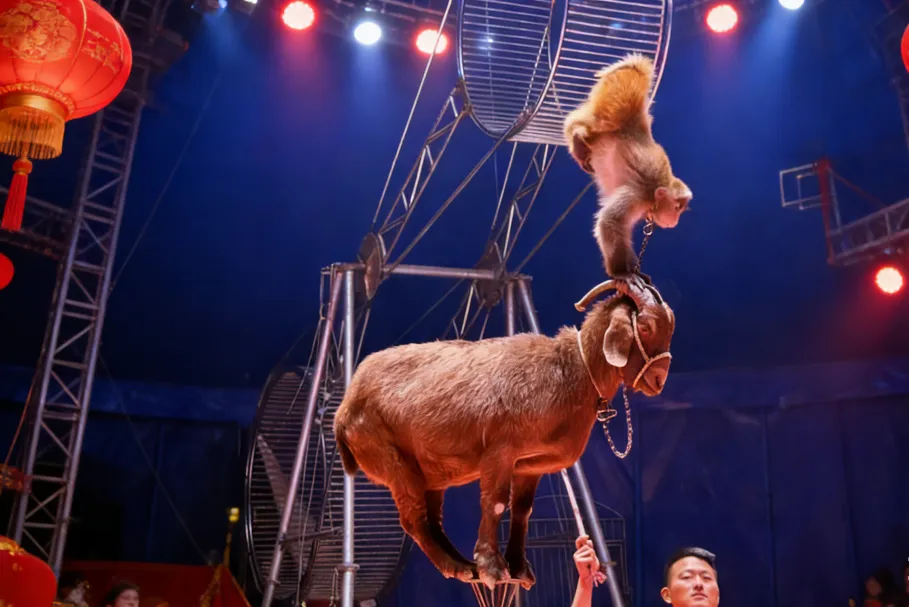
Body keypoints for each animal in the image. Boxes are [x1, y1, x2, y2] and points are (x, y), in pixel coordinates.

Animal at [333, 279, 675, 590]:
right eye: (645, 327)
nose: (660, 379)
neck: (571, 370)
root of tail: (344, 408)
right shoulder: (500, 450)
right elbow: (495, 503)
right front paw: (492, 568)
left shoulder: (531, 465)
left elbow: (522, 511)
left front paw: (519, 569)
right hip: (392, 459)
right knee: (414, 520)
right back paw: (458, 567)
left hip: (430, 472)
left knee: (433, 520)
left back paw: (461, 564)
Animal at [563, 53, 692, 290]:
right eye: (677, 207)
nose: (676, 219)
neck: (656, 191)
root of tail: (637, 120)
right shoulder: (637, 195)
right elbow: (610, 222)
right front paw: (621, 272)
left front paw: (635, 271)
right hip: (617, 103)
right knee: (592, 120)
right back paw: (576, 132)